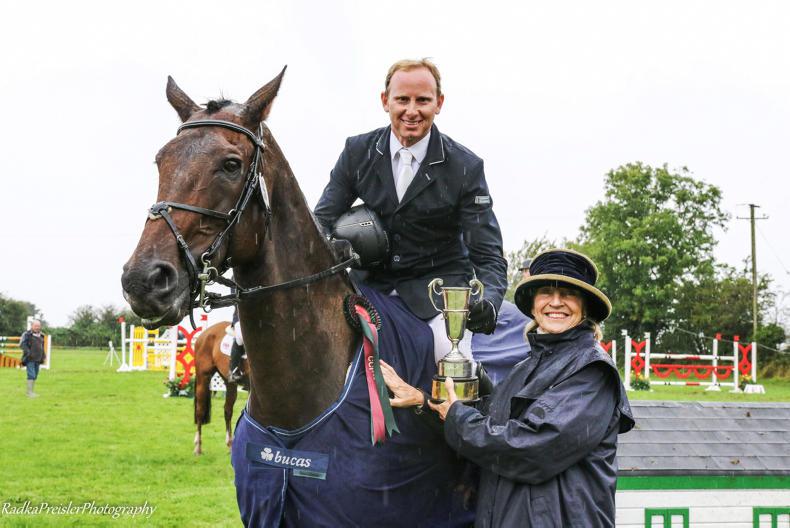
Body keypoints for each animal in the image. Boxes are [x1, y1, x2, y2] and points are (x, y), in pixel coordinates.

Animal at [192, 321, 249, 456]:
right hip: (203, 378)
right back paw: (198, 447)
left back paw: (230, 445)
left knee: (227, 410)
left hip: (229, 383)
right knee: (200, 411)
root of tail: (205, 333)